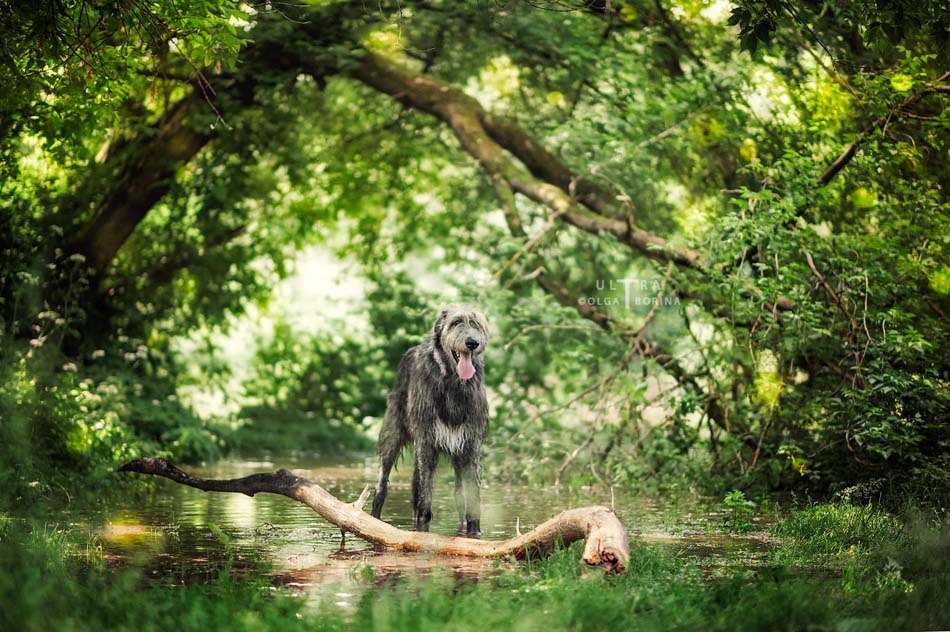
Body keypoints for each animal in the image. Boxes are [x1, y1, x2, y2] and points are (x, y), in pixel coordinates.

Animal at [370, 304, 490, 536]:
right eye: (456, 323)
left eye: (477, 324)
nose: (472, 343)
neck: (453, 381)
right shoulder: (426, 440)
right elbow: (425, 492)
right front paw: (422, 530)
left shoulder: (470, 443)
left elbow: (472, 492)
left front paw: (474, 532)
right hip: (393, 431)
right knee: (383, 480)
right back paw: (373, 518)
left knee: (457, 491)